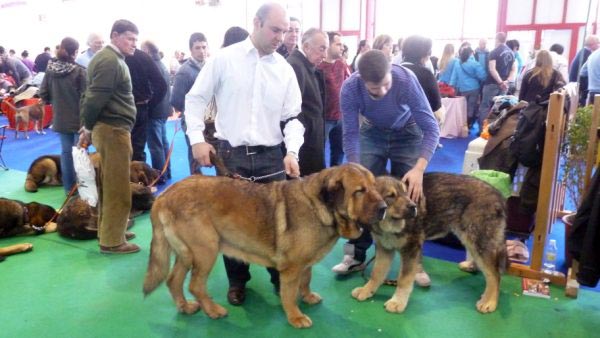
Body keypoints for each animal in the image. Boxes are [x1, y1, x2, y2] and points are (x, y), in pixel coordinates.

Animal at [354, 174, 508, 314]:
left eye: (406, 193)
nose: (414, 207)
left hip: (478, 241)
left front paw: (398, 302)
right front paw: (367, 290)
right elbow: (376, 274)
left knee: (495, 275)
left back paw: (489, 302)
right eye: (390, 196)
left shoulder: (410, 249)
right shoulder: (384, 249)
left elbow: (403, 279)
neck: (388, 225)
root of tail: (498, 195)